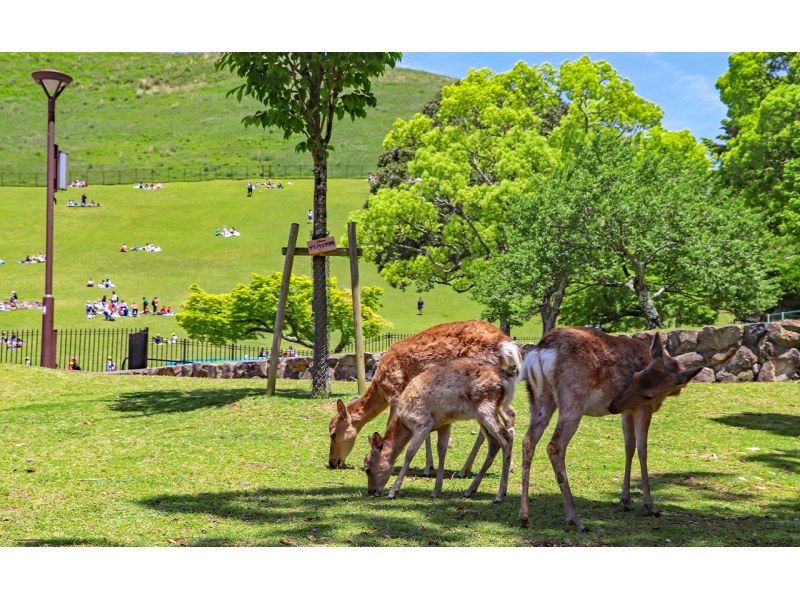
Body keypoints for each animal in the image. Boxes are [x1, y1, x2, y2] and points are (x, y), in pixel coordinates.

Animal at [330, 318, 520, 478]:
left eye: (332, 433)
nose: (332, 462)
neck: (380, 386)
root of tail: (505, 344)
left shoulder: (396, 393)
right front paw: (429, 466)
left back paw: (465, 470)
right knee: (510, 414)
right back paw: (503, 467)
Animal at [364, 346, 524, 506]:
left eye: (367, 469)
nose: (371, 491)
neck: (404, 420)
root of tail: (506, 379)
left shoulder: (423, 421)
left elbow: (410, 453)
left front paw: (393, 492)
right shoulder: (444, 423)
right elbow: (442, 450)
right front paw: (436, 490)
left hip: (486, 408)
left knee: (505, 437)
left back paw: (499, 495)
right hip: (484, 414)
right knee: (494, 443)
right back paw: (470, 490)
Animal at [520, 328, 700, 536]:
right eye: (636, 376)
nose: (613, 405)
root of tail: (540, 351)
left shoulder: (627, 410)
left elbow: (629, 446)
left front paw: (626, 501)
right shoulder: (642, 408)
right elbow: (642, 449)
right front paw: (650, 506)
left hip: (539, 397)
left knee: (527, 441)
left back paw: (525, 518)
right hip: (573, 399)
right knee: (554, 446)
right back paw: (576, 520)